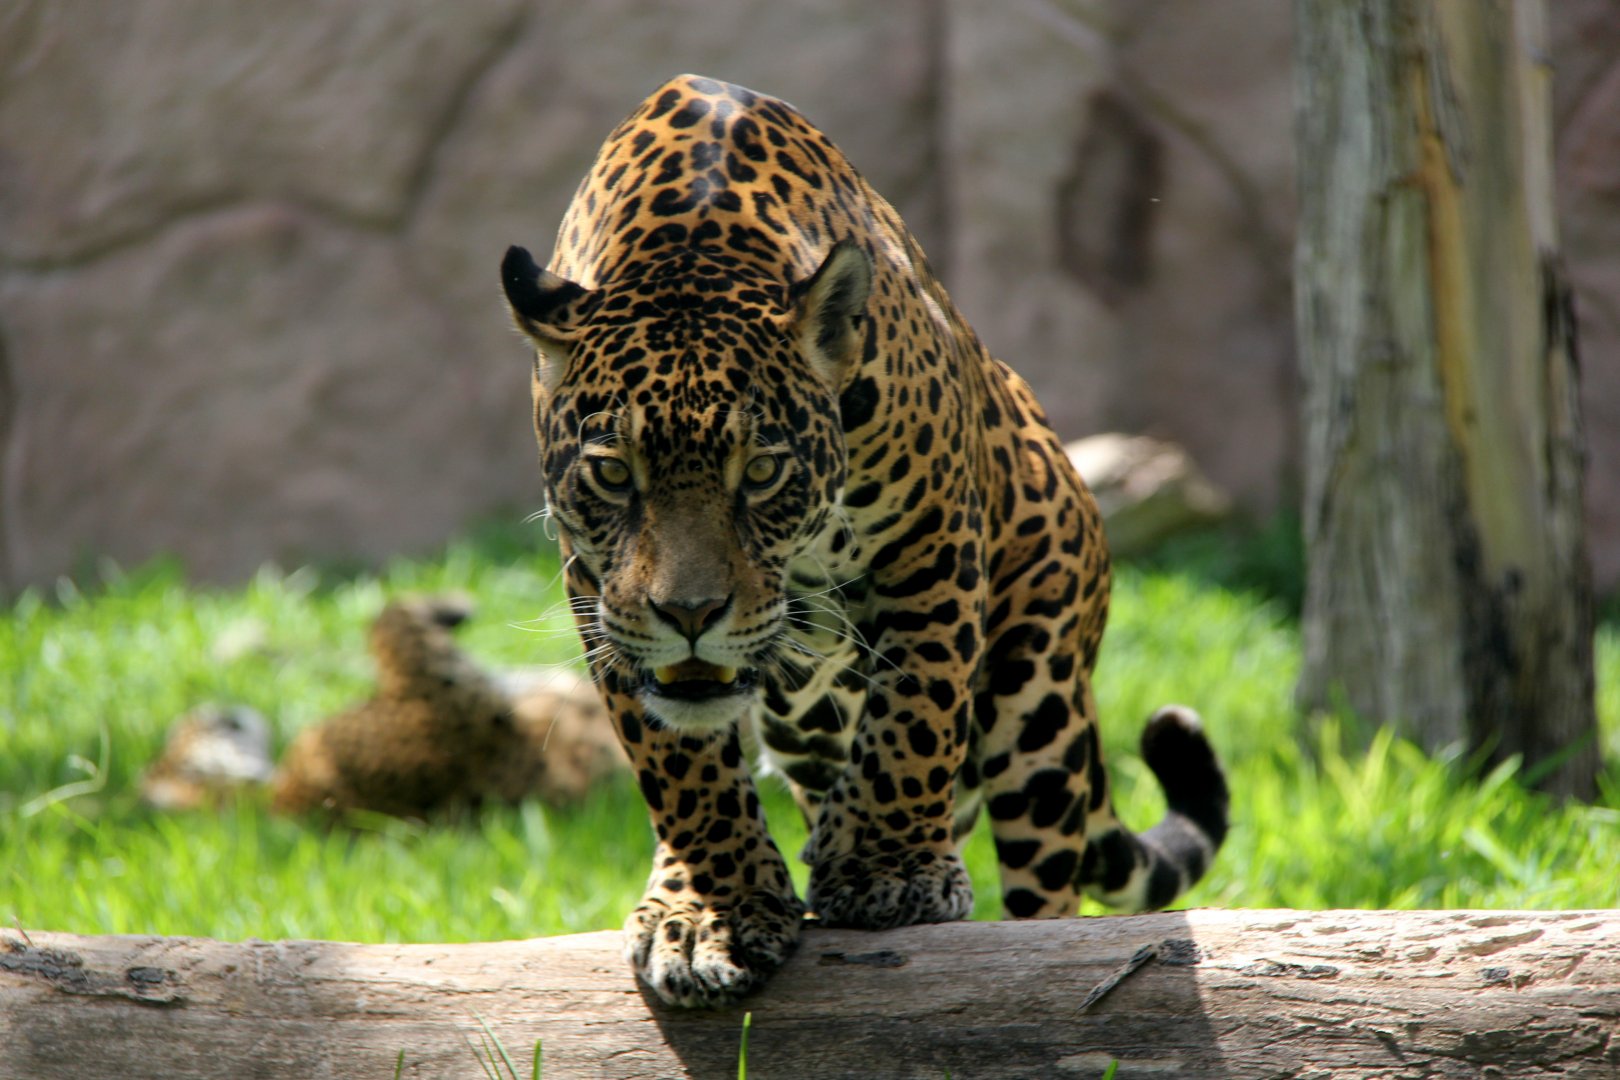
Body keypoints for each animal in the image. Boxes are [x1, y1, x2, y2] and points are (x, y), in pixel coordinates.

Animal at [500, 74, 1229, 1007]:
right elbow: (676, 760)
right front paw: (712, 908)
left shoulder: (933, 536)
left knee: (1046, 886)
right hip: (807, 731)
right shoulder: (596, 587)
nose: (690, 614)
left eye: (762, 471)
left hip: (1041, 699)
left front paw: (891, 870)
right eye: (614, 474)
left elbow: (919, 701)